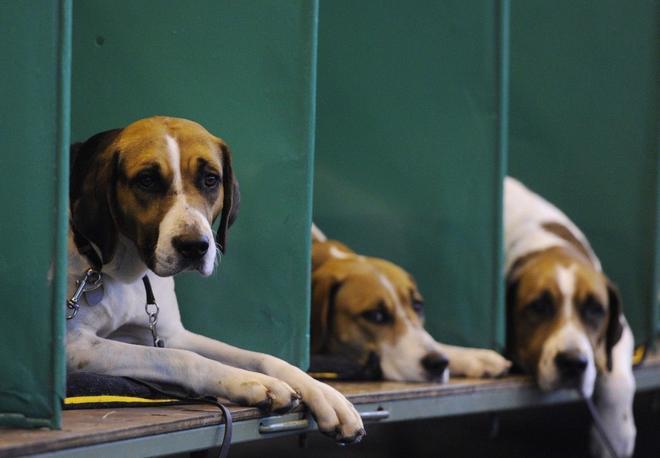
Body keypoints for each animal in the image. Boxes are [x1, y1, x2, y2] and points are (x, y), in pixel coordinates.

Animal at [67, 117, 366, 444]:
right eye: (147, 180)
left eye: (210, 180)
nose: (194, 246)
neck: (119, 267)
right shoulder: (75, 346)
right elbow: (183, 358)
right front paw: (251, 382)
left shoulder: (170, 334)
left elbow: (260, 356)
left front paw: (325, 394)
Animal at [506, 177, 636, 456]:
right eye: (538, 306)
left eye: (595, 309)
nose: (573, 363)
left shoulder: (622, 332)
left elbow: (618, 379)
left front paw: (615, 433)